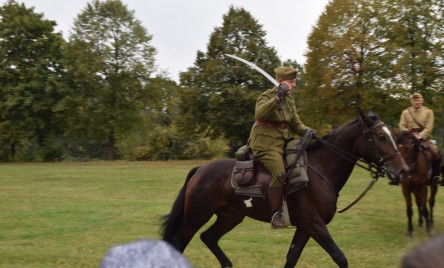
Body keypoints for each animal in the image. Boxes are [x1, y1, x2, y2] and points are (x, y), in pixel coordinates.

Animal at [160, 110, 406, 266]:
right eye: (381, 136)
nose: (402, 170)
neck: (321, 169)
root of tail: (201, 169)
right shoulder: (314, 224)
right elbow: (340, 257)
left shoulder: (305, 228)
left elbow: (291, 259)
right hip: (195, 216)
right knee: (179, 244)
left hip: (230, 217)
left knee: (209, 238)